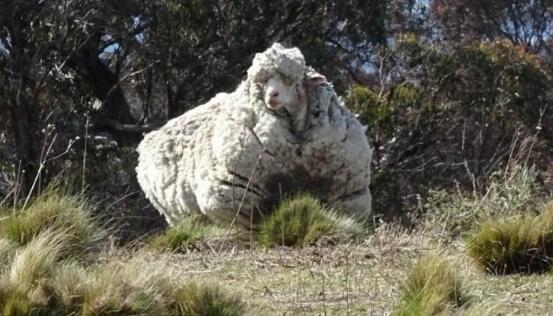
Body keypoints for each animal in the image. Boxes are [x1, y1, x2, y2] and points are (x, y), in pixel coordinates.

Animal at [136, 42, 374, 227]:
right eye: (262, 82)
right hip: (177, 214)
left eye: (293, 80)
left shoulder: (347, 195)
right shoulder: (233, 197)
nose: (272, 96)